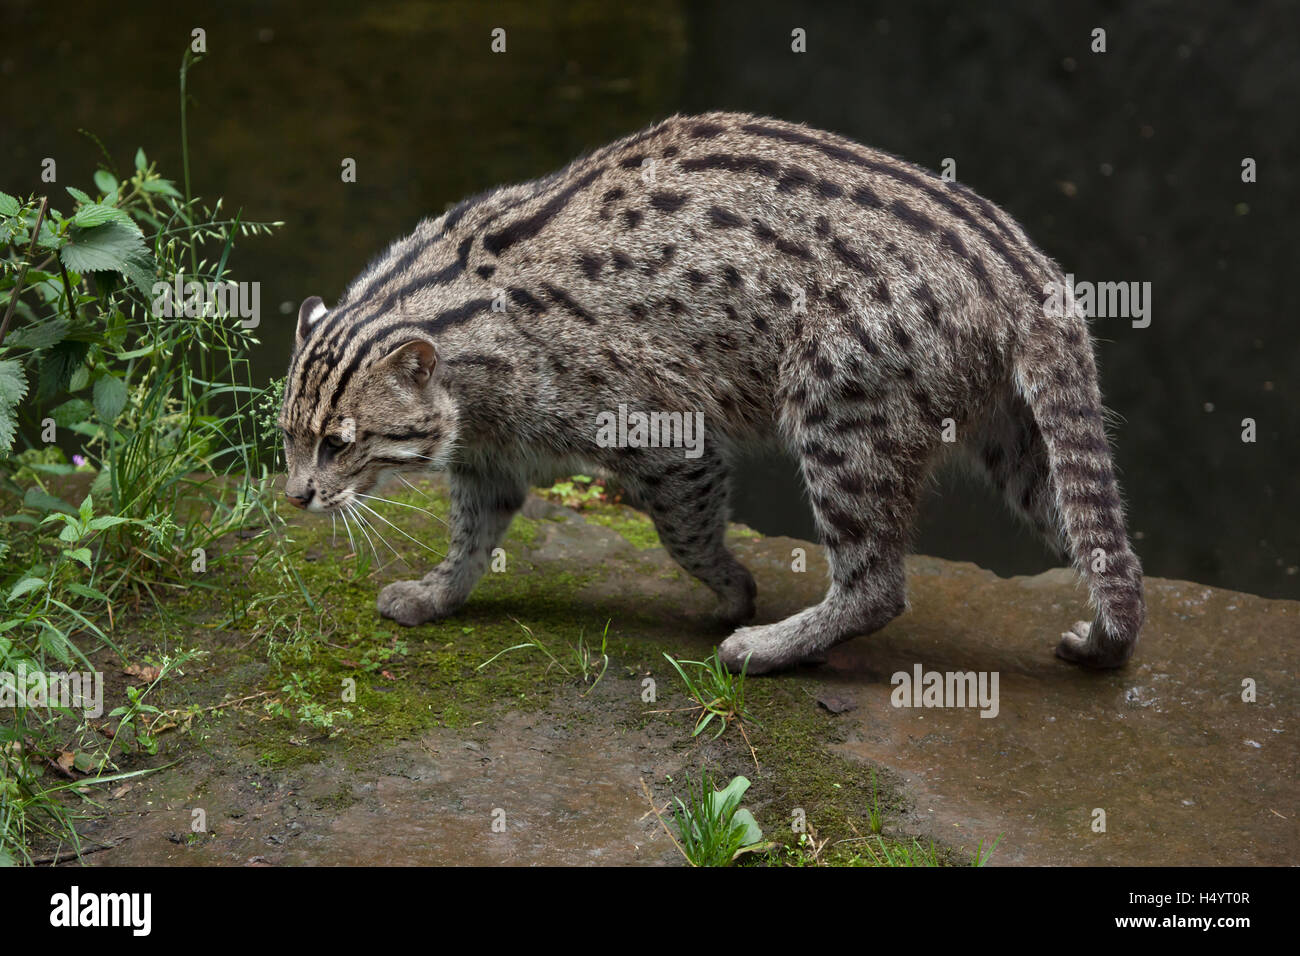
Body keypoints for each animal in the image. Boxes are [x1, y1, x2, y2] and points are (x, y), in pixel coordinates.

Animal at [279, 111, 1144, 676]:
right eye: (287, 436)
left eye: (340, 441)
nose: (293, 496)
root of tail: (1023, 268)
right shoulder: (490, 459)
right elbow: (471, 537)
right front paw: (436, 594)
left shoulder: (664, 433)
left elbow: (686, 533)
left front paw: (733, 591)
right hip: (1015, 439)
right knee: (1109, 548)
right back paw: (1104, 638)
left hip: (840, 411)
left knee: (877, 584)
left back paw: (770, 647)